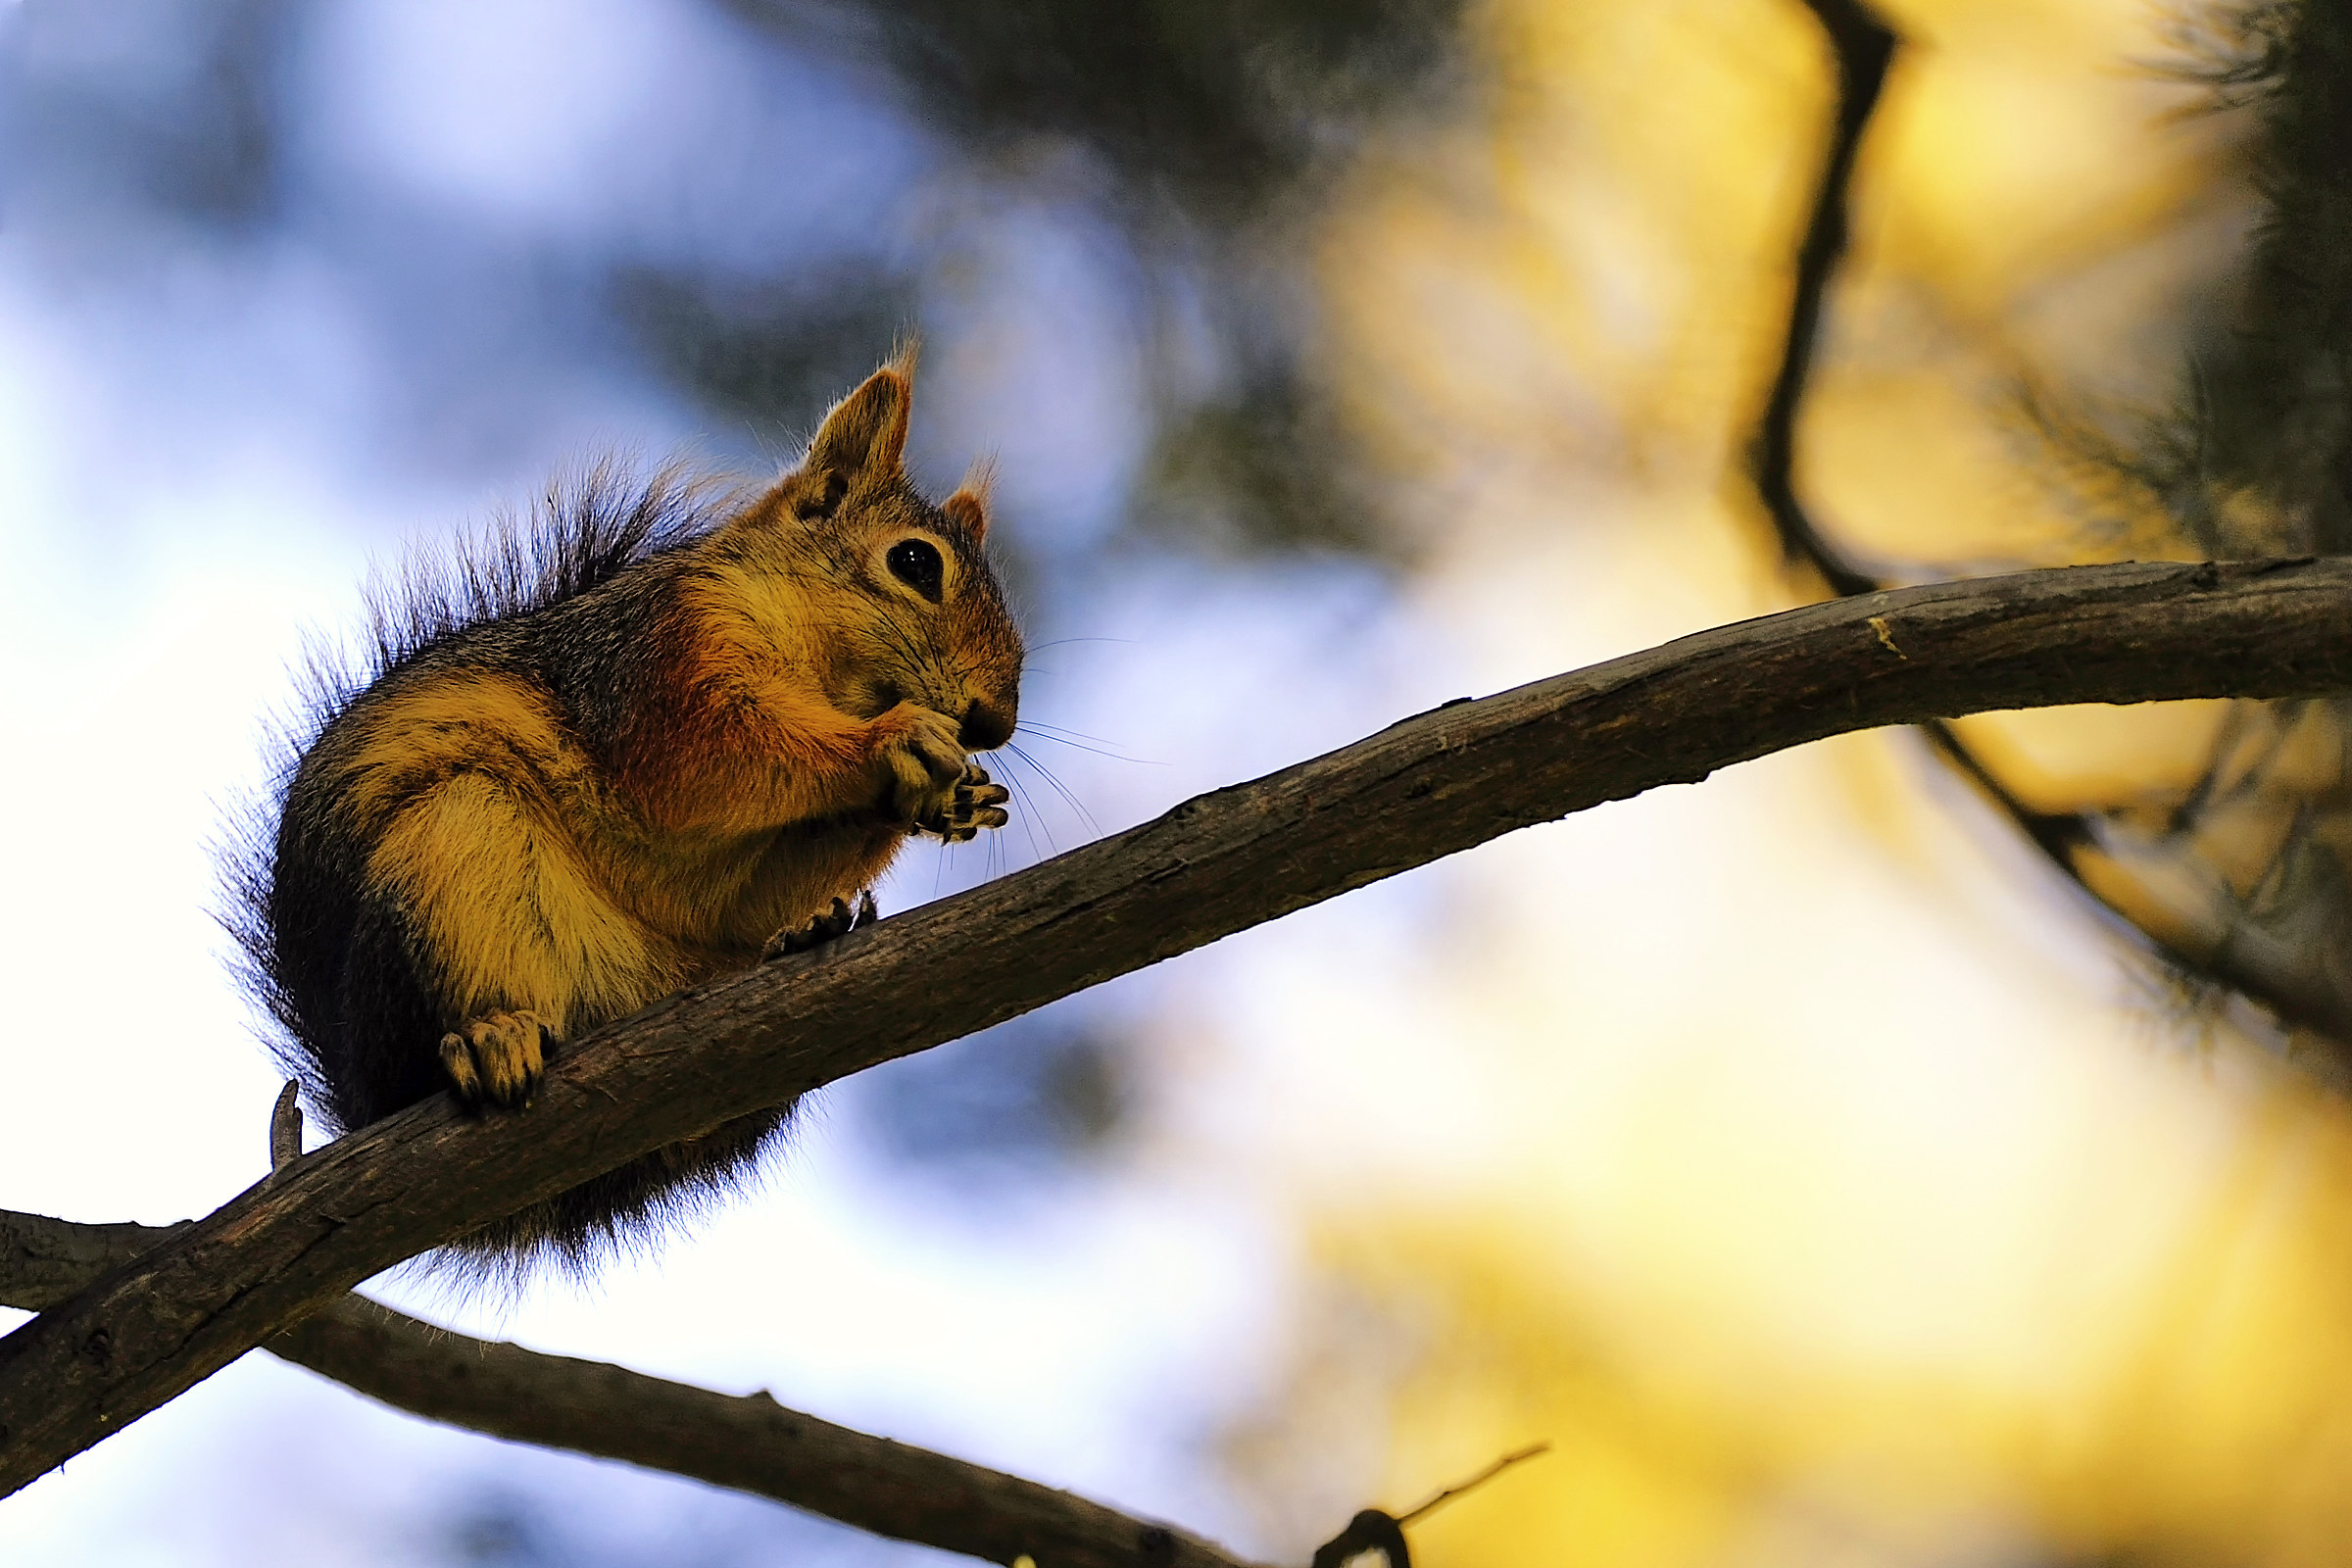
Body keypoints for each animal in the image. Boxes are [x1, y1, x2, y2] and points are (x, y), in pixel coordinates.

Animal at [222, 356, 1025, 1275]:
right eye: (915, 563)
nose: (994, 722)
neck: (816, 667)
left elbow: (731, 892)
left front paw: (947, 798)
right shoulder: (656, 668)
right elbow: (709, 762)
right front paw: (894, 743)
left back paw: (812, 932)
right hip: (451, 850)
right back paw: (488, 1039)